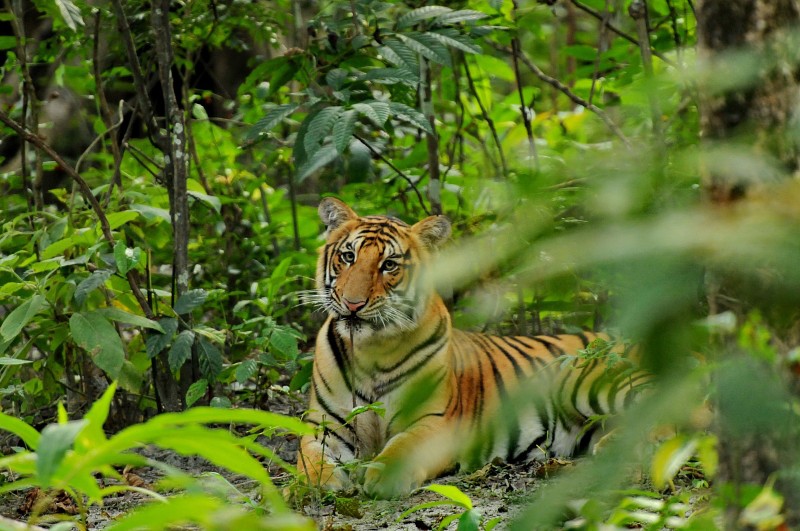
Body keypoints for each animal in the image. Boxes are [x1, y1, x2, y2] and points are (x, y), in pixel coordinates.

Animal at [296, 198, 648, 498]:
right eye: (348, 257)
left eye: (389, 264)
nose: (353, 304)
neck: (371, 349)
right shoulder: (325, 426)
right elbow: (307, 455)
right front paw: (318, 483)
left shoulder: (436, 421)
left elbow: (402, 447)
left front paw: (382, 476)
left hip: (591, 381)